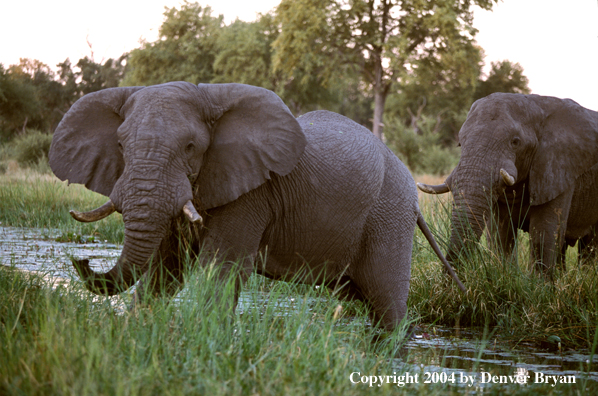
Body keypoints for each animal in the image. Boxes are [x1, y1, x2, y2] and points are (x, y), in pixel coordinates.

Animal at [49, 81, 466, 332]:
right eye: (120, 146)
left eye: (190, 148)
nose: (81, 260)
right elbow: (165, 270)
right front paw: (138, 331)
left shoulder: (252, 194)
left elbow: (220, 269)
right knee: (359, 297)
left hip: (389, 214)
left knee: (386, 302)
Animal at [420, 93, 598, 276]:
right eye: (460, 144)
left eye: (515, 142)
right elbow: (501, 234)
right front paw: (505, 273)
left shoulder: (557, 168)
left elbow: (544, 233)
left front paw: (539, 284)